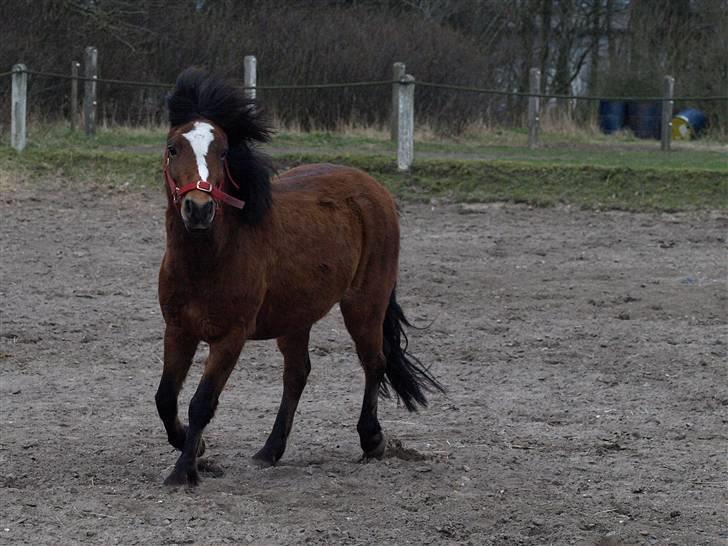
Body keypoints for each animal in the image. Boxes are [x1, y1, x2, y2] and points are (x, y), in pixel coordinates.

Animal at [155, 69, 444, 484]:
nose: (198, 209)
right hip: (295, 317)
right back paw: (270, 451)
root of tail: (374, 190)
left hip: (364, 305)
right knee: (298, 374)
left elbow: (201, 403)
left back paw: (372, 440)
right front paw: (199, 451)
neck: (208, 260)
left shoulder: (230, 337)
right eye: (173, 148)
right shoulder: (179, 328)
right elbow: (165, 398)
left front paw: (184, 471)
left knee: (374, 362)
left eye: (223, 152)